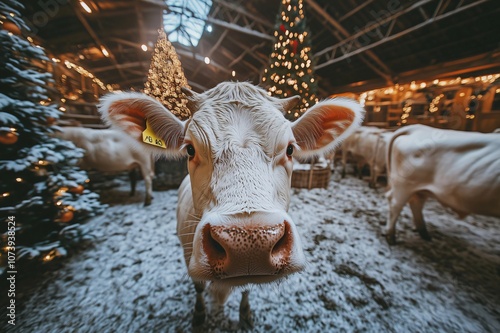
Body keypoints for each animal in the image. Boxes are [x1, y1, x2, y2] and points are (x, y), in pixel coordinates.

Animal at [97, 81, 364, 328]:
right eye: (190, 149)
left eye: (290, 149)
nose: (248, 243)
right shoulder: (187, 253)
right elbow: (197, 287)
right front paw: (199, 315)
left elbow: (246, 289)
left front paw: (245, 315)